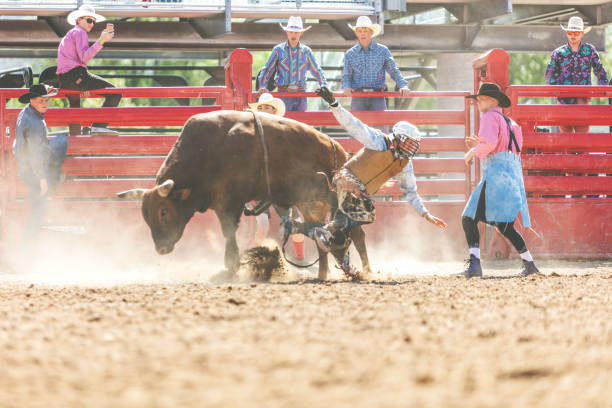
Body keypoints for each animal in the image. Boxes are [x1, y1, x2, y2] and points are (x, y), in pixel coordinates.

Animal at [117, 110, 370, 278]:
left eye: (163, 211)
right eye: (145, 216)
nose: (161, 249)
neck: (207, 151)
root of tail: (338, 149)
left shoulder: (230, 204)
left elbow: (229, 232)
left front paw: (231, 266)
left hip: (325, 193)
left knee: (353, 229)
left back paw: (365, 269)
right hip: (308, 203)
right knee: (318, 232)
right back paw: (322, 274)